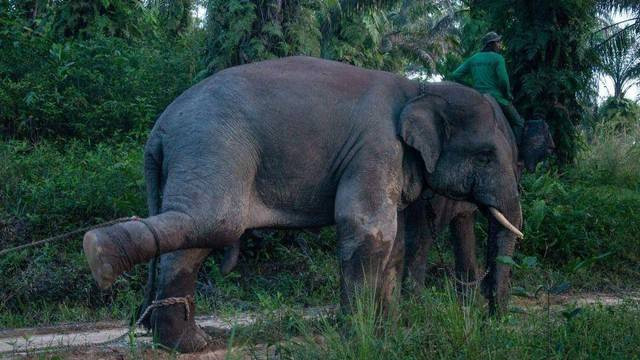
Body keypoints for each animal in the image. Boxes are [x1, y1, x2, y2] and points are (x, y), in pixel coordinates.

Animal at [84, 56, 524, 352]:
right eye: (486, 156)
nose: (494, 318)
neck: (420, 89)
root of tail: (159, 128)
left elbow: (393, 243)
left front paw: (388, 332)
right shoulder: (377, 146)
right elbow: (367, 227)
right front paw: (358, 337)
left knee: (193, 238)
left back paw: (185, 342)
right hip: (211, 146)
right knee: (215, 221)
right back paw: (100, 254)